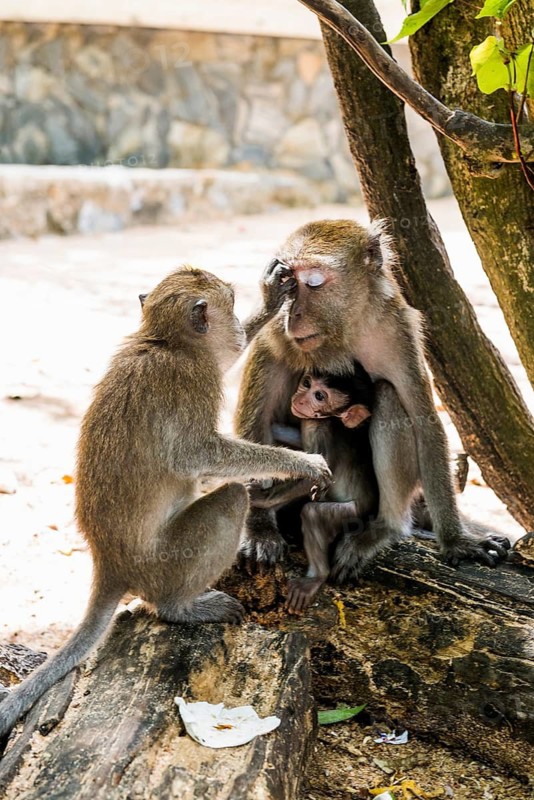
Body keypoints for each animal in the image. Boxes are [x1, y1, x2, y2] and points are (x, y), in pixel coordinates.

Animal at [0, 266, 331, 742]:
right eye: (230, 305)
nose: (236, 324)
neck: (163, 342)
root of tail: (110, 563)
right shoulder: (193, 381)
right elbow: (198, 454)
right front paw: (299, 465)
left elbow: (226, 360)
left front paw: (272, 298)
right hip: (166, 563)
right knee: (231, 500)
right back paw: (181, 608)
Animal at [235, 219, 511, 580]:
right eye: (289, 285)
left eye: (313, 283)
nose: (292, 315)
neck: (342, 332)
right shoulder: (275, 336)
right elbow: (257, 418)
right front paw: (258, 528)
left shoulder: (396, 330)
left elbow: (425, 422)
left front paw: (455, 540)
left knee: (388, 396)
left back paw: (385, 528)